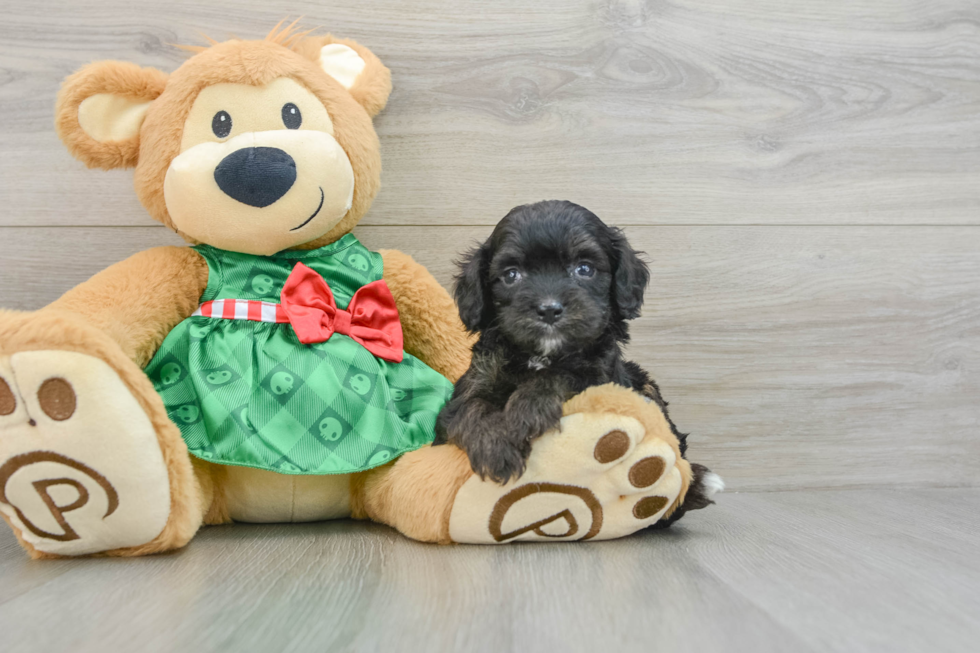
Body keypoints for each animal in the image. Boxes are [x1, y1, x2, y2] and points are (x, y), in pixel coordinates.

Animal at [436, 201, 720, 516]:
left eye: (584, 269)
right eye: (511, 275)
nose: (549, 309)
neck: (542, 353)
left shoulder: (599, 374)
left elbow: (565, 374)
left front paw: (527, 411)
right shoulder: (476, 380)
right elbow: (471, 407)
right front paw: (495, 448)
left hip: (646, 386)